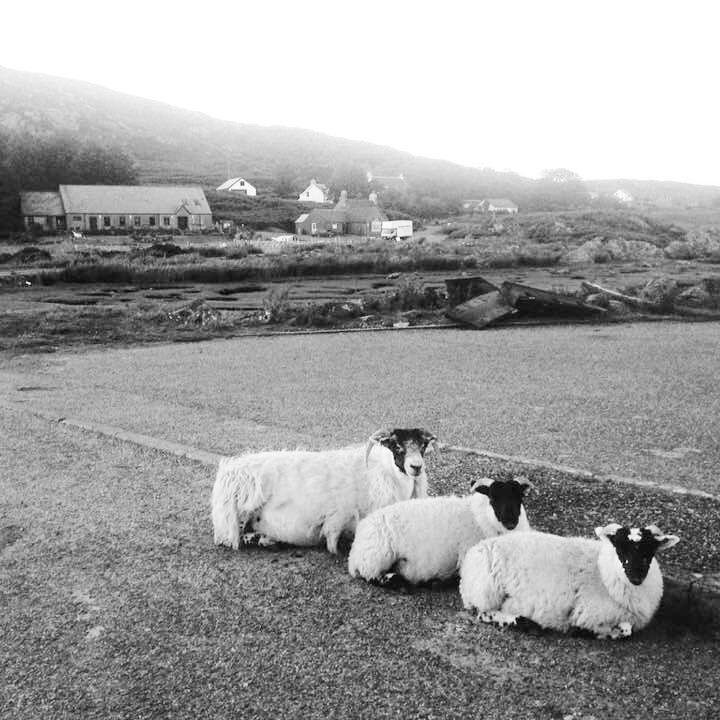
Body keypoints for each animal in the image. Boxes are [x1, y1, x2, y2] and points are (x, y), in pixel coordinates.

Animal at [212, 424, 438, 556]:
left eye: (423, 446)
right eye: (397, 446)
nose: (416, 467)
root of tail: (231, 469)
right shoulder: (339, 517)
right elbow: (333, 538)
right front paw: (336, 550)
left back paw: (267, 540)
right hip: (239, 512)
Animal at [346, 476, 532, 588]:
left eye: (520, 498)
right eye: (493, 498)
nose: (511, 522)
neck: (478, 517)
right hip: (376, 557)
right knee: (371, 575)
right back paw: (403, 583)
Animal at [462, 520, 680, 640]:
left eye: (649, 550)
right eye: (620, 548)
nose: (636, 575)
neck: (603, 572)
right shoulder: (590, 614)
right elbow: (625, 631)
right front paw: (590, 632)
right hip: (488, 591)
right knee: (483, 613)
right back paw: (519, 621)